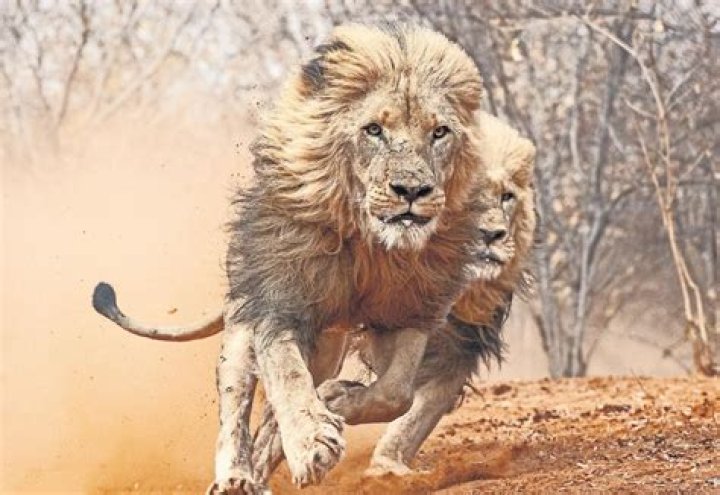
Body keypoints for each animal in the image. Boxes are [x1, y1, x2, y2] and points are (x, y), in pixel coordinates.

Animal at [93, 24, 487, 493]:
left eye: (440, 132)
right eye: (373, 130)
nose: (411, 191)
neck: (372, 243)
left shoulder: (409, 309)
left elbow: (397, 392)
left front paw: (337, 401)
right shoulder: (279, 303)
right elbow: (286, 373)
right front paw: (313, 441)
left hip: (328, 343)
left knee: (274, 418)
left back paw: (268, 465)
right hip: (243, 324)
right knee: (236, 402)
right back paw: (235, 476)